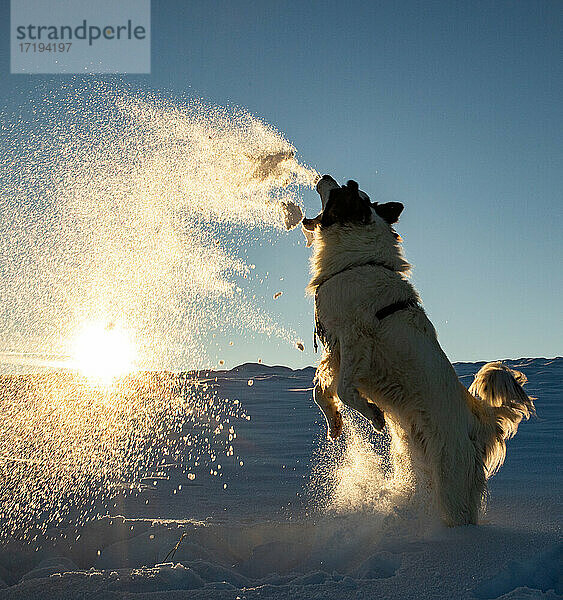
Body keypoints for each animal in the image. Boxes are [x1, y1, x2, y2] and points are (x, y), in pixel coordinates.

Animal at [302, 175, 536, 524]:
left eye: (342, 190)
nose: (325, 176)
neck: (357, 263)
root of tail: (479, 423)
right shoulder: (336, 349)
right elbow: (321, 391)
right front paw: (335, 424)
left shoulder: (356, 339)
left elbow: (344, 389)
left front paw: (373, 415)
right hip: (417, 456)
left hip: (449, 475)